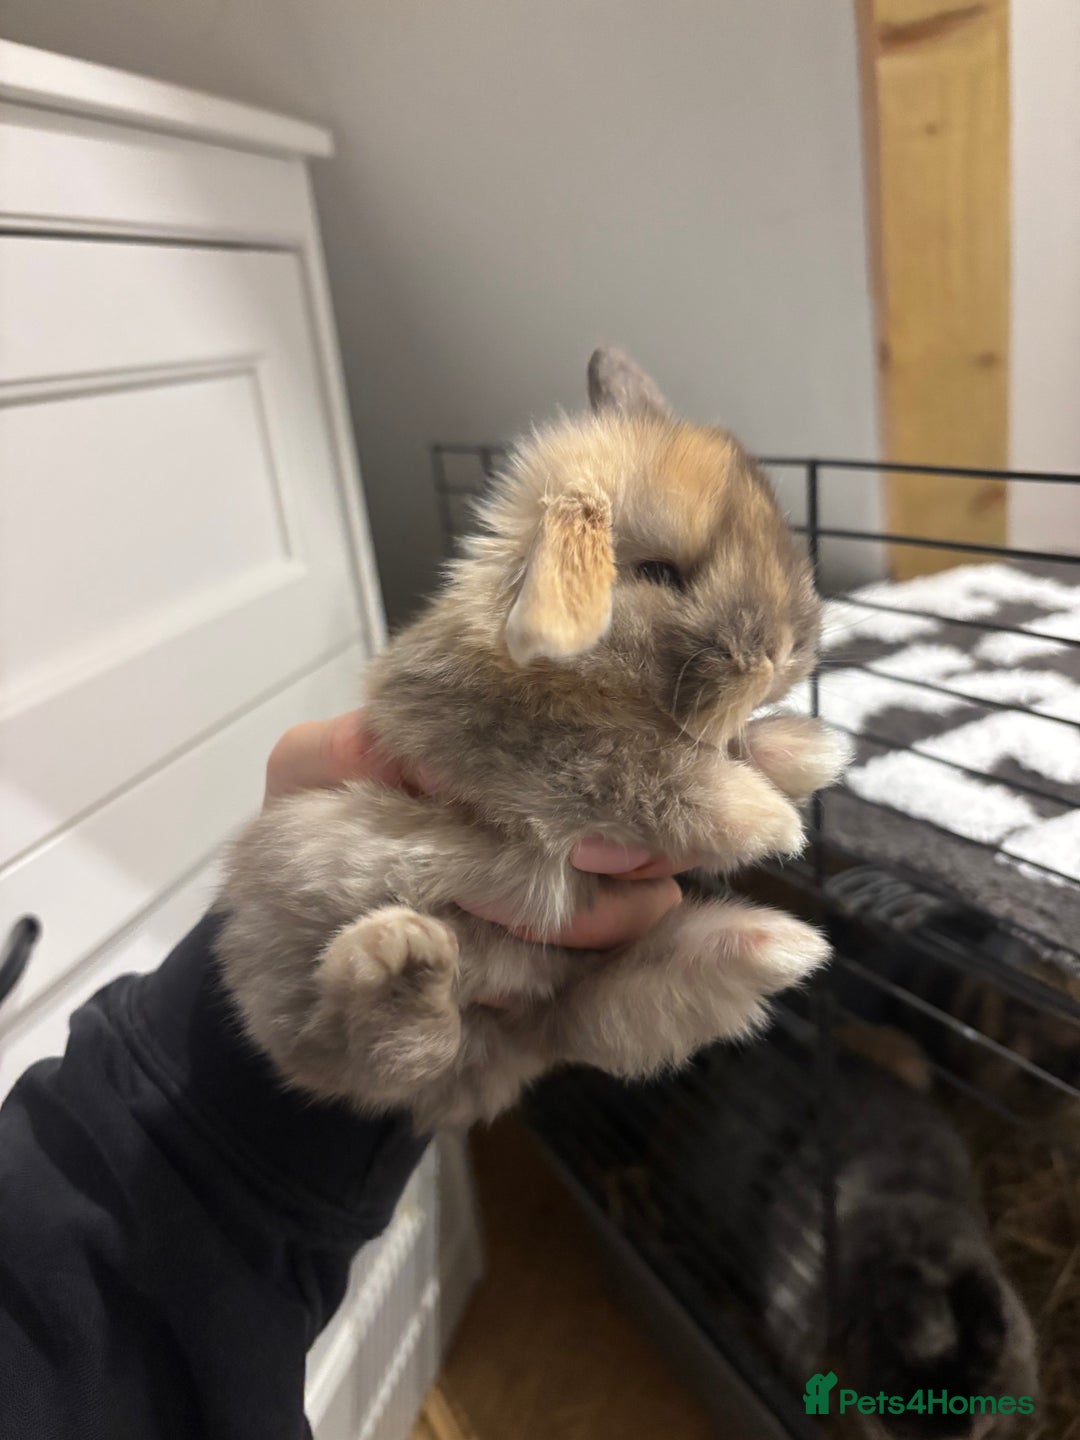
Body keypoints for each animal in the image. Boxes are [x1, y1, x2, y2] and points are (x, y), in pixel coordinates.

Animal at [215, 348, 850, 1131]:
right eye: (660, 573)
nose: (789, 652)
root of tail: (516, 1047)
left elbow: (724, 748)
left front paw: (810, 752)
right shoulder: (528, 751)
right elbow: (647, 771)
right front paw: (771, 820)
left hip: (583, 1002)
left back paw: (774, 944)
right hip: (315, 999)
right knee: (368, 1051)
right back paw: (405, 961)